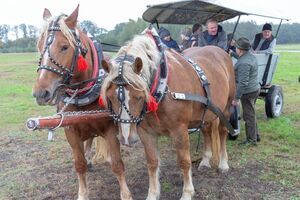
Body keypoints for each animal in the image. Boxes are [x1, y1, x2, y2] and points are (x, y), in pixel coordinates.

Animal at [31, 5, 132, 199]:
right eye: (40, 47)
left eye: (64, 47)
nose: (41, 93)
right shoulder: (70, 129)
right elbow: (79, 164)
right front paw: (83, 193)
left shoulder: (109, 129)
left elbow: (117, 164)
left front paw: (126, 194)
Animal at [102, 32, 236, 199]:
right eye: (110, 97)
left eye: (139, 97)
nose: (127, 139)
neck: (162, 86)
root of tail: (221, 52)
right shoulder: (146, 132)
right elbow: (152, 162)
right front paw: (152, 194)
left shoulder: (180, 130)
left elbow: (184, 161)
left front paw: (187, 193)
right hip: (205, 113)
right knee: (206, 132)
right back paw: (205, 160)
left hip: (226, 108)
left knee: (222, 132)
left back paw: (223, 163)